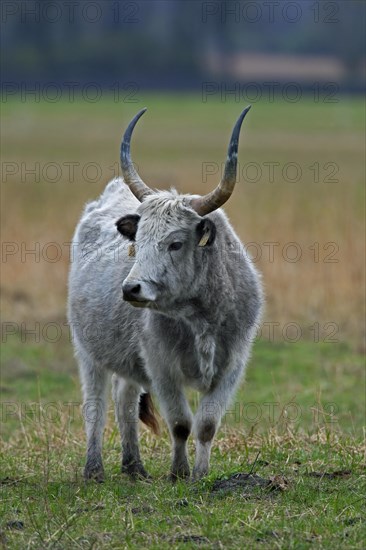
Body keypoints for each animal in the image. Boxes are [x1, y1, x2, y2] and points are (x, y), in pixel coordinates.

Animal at [68, 108, 264, 484]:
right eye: (138, 239)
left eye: (175, 243)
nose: (130, 289)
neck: (201, 318)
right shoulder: (162, 367)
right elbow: (180, 423)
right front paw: (178, 473)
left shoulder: (231, 365)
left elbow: (206, 425)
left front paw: (200, 474)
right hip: (88, 352)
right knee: (96, 406)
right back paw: (94, 469)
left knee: (125, 399)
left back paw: (134, 466)